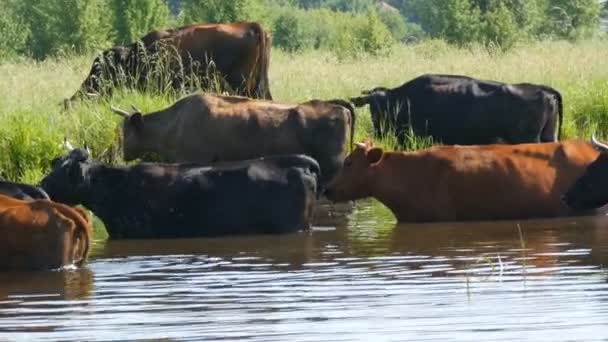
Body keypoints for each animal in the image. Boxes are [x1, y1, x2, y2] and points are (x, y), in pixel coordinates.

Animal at [352, 74, 564, 145]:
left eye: (377, 108)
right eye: (371, 106)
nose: (378, 131)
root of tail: (544, 88)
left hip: (528, 138)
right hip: (548, 135)